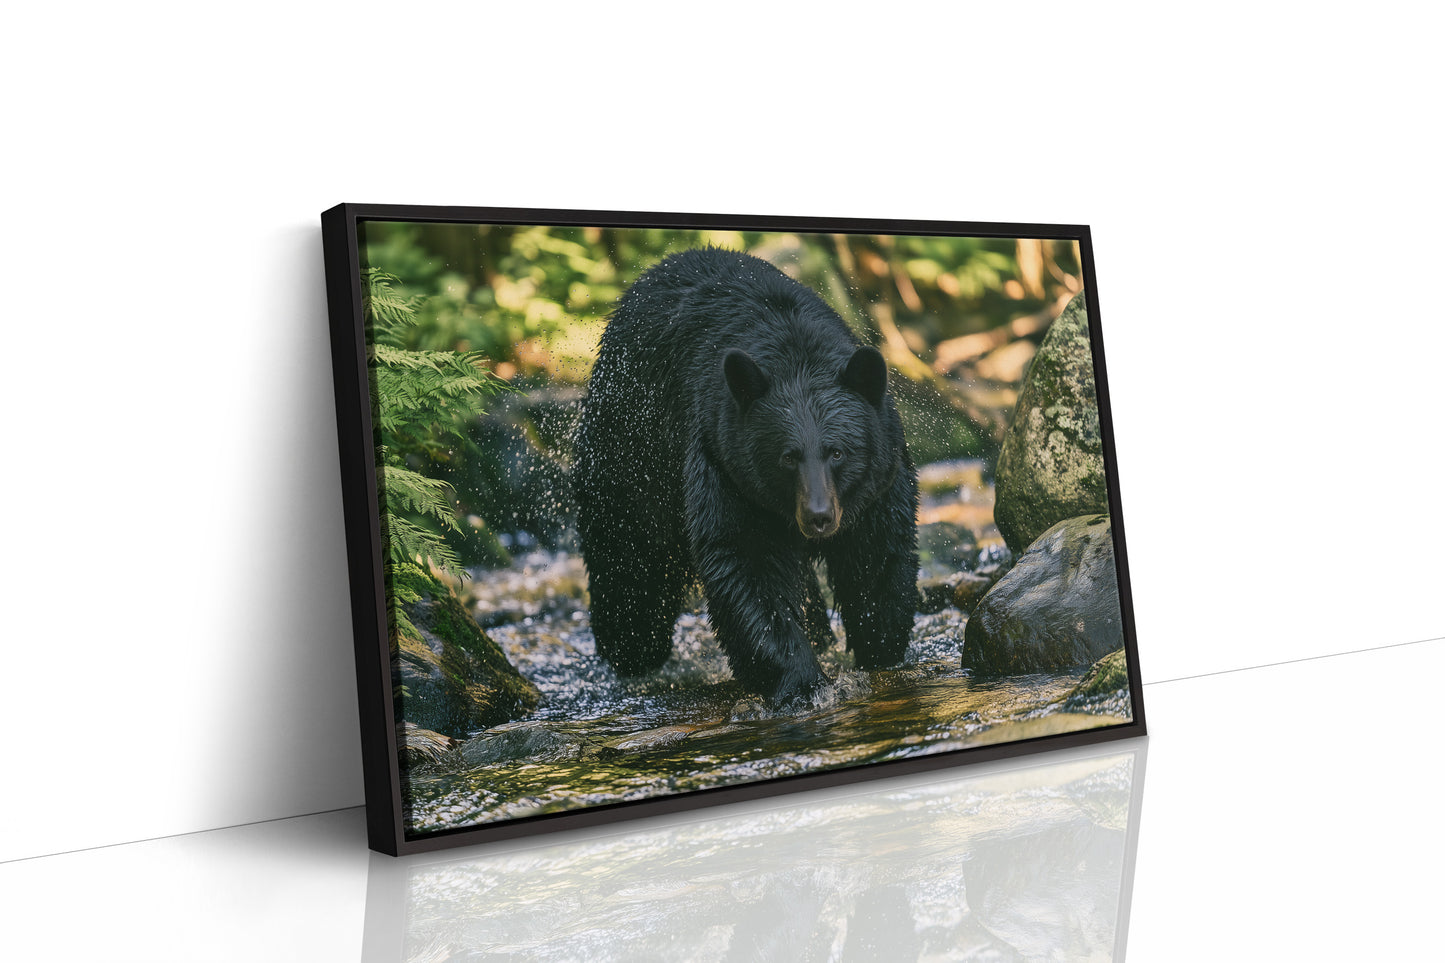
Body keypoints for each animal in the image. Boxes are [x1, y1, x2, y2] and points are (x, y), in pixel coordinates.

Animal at [573, 248, 919, 702]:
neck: (795, 351)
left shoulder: (879, 477)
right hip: (631, 446)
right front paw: (801, 680)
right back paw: (632, 653)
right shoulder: (725, 461)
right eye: (788, 457)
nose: (819, 517)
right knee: (628, 553)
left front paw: (881, 648)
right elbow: (745, 559)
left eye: (837, 452)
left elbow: (877, 552)